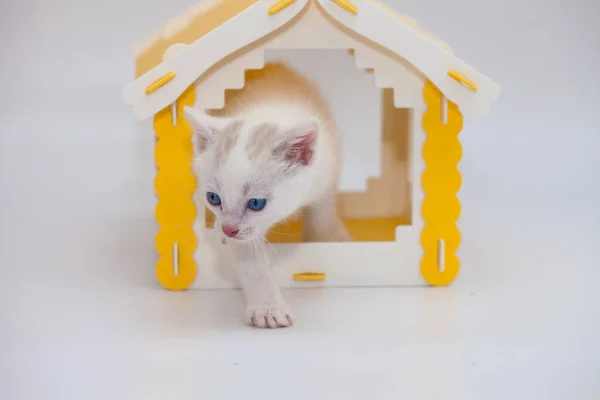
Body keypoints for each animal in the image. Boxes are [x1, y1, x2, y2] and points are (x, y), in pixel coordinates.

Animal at [185, 61, 350, 324]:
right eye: (214, 199)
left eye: (256, 203)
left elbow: (322, 214)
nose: (227, 230)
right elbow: (250, 258)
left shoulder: (328, 168)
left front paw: (330, 238)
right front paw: (268, 307)